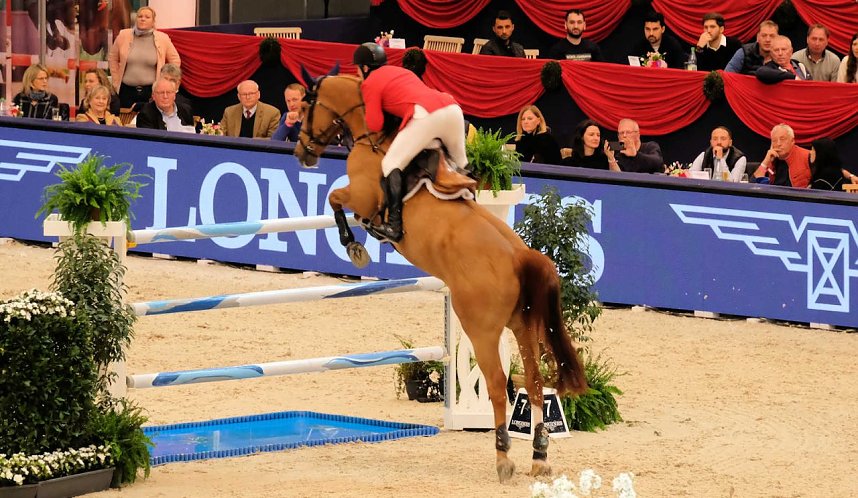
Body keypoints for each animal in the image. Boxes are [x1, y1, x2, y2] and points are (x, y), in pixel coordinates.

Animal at [293, 73, 587, 483]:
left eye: (306, 107)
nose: (301, 153)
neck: (372, 136)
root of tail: (519, 255)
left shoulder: (362, 197)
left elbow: (336, 199)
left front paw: (354, 246)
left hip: (480, 328)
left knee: (497, 385)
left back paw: (503, 457)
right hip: (523, 324)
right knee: (533, 382)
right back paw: (539, 455)